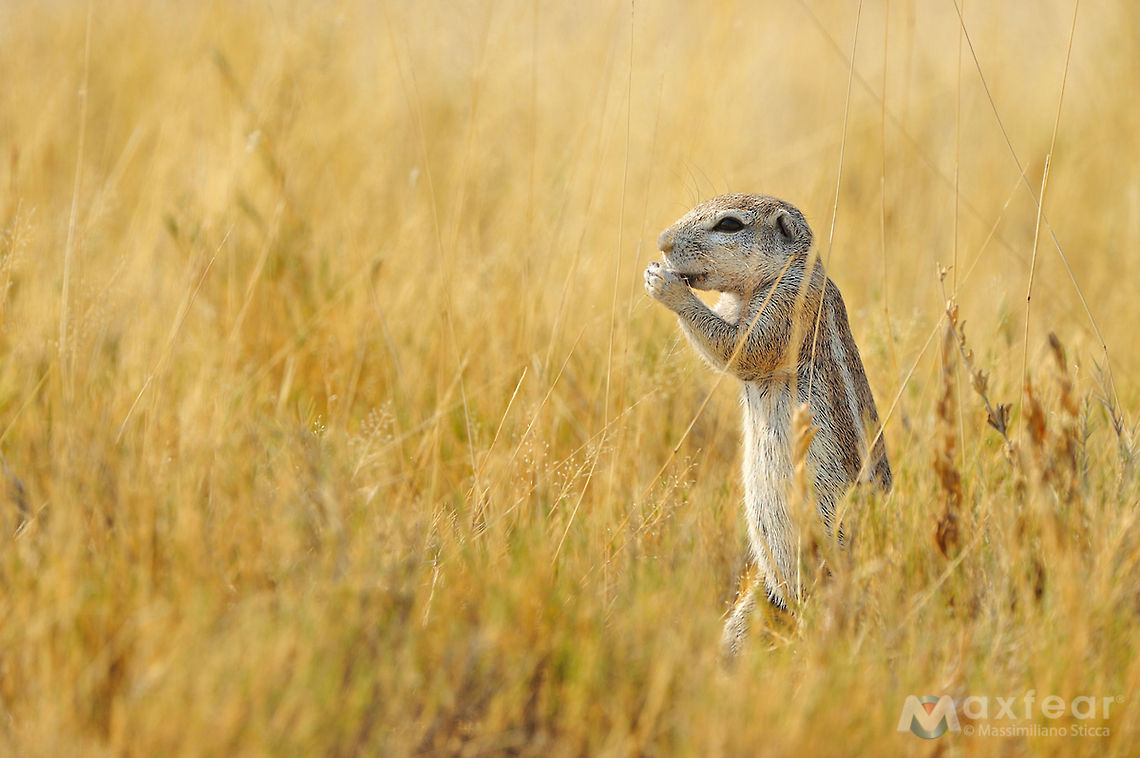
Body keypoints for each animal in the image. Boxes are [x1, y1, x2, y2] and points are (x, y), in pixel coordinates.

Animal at [644, 193, 891, 657]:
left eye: (728, 224)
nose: (661, 241)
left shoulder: (787, 305)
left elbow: (741, 348)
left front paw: (665, 285)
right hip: (763, 597)